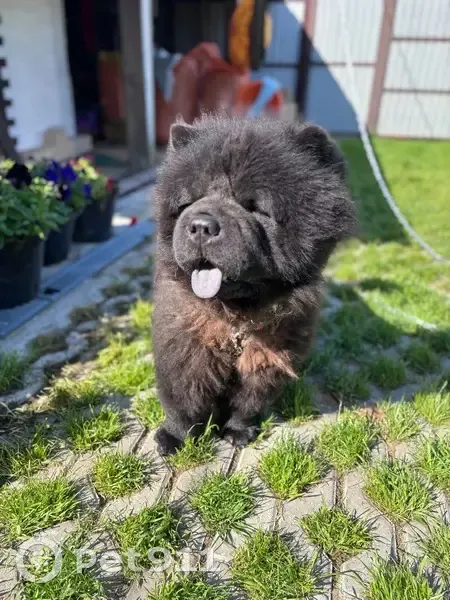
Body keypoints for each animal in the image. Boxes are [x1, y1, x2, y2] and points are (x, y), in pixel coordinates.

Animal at [152, 115, 355, 455]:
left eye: (255, 207)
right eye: (189, 202)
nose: (201, 225)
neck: (236, 320)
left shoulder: (268, 356)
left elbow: (249, 402)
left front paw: (238, 431)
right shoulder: (185, 350)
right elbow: (183, 400)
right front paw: (174, 437)